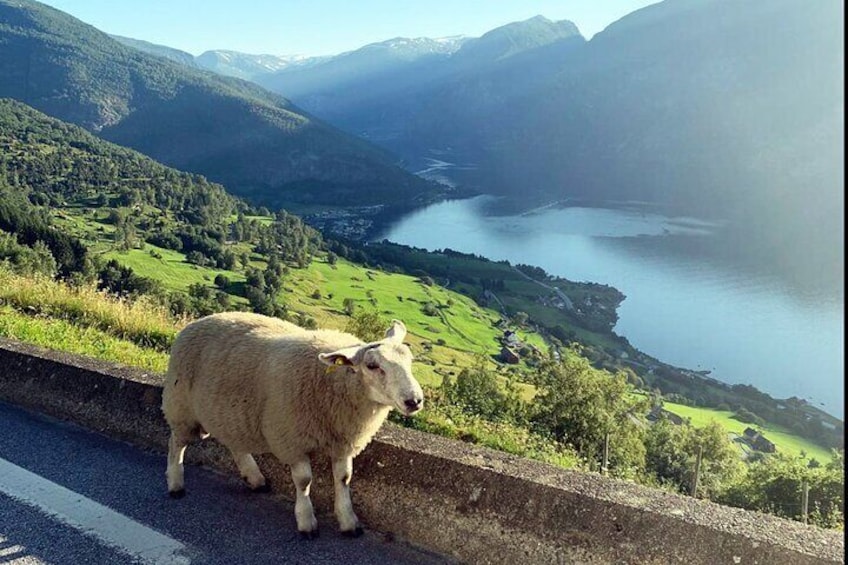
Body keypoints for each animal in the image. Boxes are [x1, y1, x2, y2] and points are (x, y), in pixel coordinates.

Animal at [160, 310, 424, 536]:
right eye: (372, 366)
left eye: (410, 361)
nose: (415, 400)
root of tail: (198, 321)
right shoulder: (292, 440)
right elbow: (304, 481)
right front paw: (307, 522)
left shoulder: (343, 443)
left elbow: (344, 479)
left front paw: (349, 522)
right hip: (181, 406)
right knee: (176, 443)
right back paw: (176, 484)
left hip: (228, 413)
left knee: (235, 444)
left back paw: (255, 479)